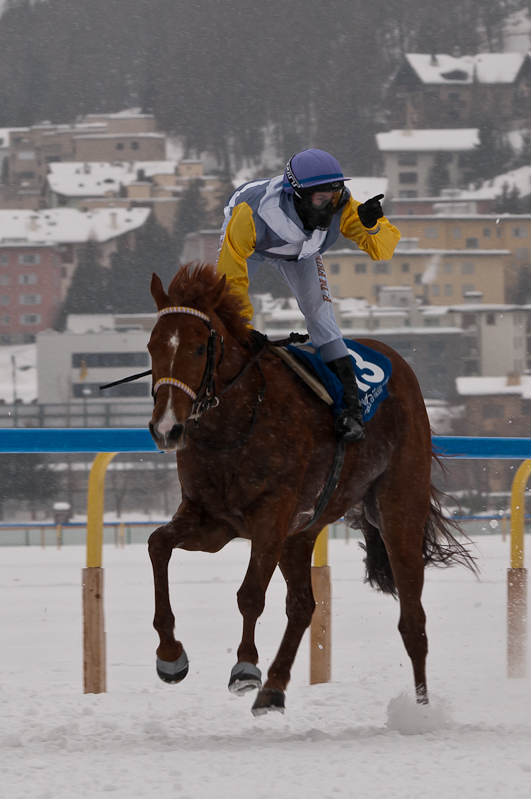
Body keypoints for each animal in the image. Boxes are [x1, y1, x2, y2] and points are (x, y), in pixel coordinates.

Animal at [147, 266, 474, 716]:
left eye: (198, 348)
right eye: (152, 346)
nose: (166, 429)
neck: (239, 421)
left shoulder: (271, 516)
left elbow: (250, 593)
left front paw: (245, 668)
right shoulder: (211, 520)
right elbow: (157, 545)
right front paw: (170, 656)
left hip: (398, 511)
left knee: (413, 622)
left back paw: (422, 710)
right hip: (302, 532)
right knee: (303, 606)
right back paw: (274, 688)